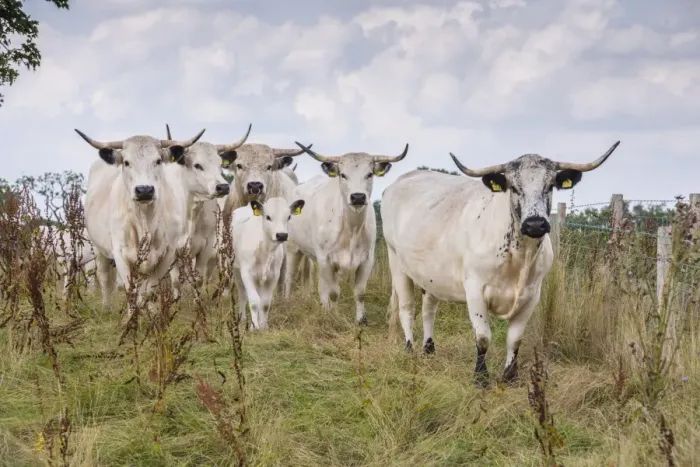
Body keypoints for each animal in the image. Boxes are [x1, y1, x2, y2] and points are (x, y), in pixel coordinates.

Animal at [77, 128, 207, 316]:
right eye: (126, 162)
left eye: (158, 161)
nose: (144, 190)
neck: (145, 220)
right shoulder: (120, 253)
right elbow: (130, 290)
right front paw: (132, 318)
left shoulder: (167, 254)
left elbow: (148, 291)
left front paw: (149, 315)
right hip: (99, 250)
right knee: (104, 279)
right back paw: (106, 308)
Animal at [163, 123, 251, 299]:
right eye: (197, 165)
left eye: (220, 165)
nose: (223, 187)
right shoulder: (174, 250)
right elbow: (176, 282)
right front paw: (177, 300)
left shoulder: (206, 248)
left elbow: (198, 279)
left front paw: (198, 300)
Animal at [230, 197, 305, 329]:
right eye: (268, 217)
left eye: (288, 217)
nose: (281, 235)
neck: (265, 249)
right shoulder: (246, 273)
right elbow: (254, 301)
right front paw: (254, 327)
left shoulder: (273, 276)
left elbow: (265, 303)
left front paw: (263, 326)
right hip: (236, 269)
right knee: (242, 293)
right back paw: (242, 318)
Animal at [284, 142, 409, 324]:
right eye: (343, 175)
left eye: (369, 174)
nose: (358, 197)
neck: (351, 229)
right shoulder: (327, 259)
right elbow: (334, 292)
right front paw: (334, 316)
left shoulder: (366, 260)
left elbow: (359, 292)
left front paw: (361, 319)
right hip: (293, 249)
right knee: (290, 277)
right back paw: (287, 301)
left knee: (321, 285)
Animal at [381, 141, 620, 386]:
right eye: (514, 187)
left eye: (550, 185)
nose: (535, 224)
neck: (520, 257)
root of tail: (400, 181)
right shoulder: (475, 290)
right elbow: (483, 337)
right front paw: (480, 377)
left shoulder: (532, 295)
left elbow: (515, 339)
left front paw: (510, 375)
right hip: (396, 260)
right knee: (406, 308)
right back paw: (410, 350)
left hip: (430, 275)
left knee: (429, 308)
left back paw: (429, 350)